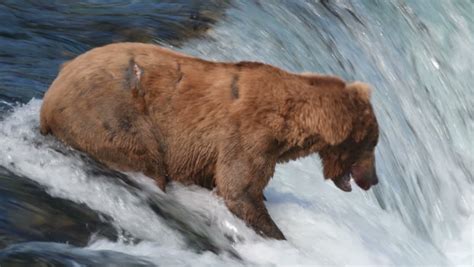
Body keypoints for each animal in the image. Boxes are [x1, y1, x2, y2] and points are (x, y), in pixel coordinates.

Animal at [41, 42, 382, 241]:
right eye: (372, 144)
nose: (374, 179)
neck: (294, 121)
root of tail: (54, 86)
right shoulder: (247, 135)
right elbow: (240, 190)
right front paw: (278, 235)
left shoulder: (211, 154)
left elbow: (224, 182)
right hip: (113, 116)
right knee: (145, 161)